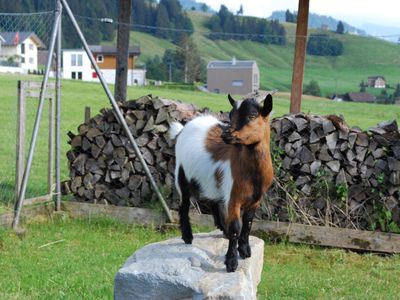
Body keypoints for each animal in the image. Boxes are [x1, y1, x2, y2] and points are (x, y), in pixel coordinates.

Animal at [169, 94, 276, 272]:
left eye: (252, 116)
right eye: (231, 115)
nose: (226, 134)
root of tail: (183, 128)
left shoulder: (256, 199)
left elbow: (248, 223)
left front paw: (245, 250)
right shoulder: (234, 198)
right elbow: (236, 227)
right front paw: (231, 262)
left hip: (212, 180)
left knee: (213, 200)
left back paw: (222, 229)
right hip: (181, 173)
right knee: (184, 204)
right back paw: (187, 236)